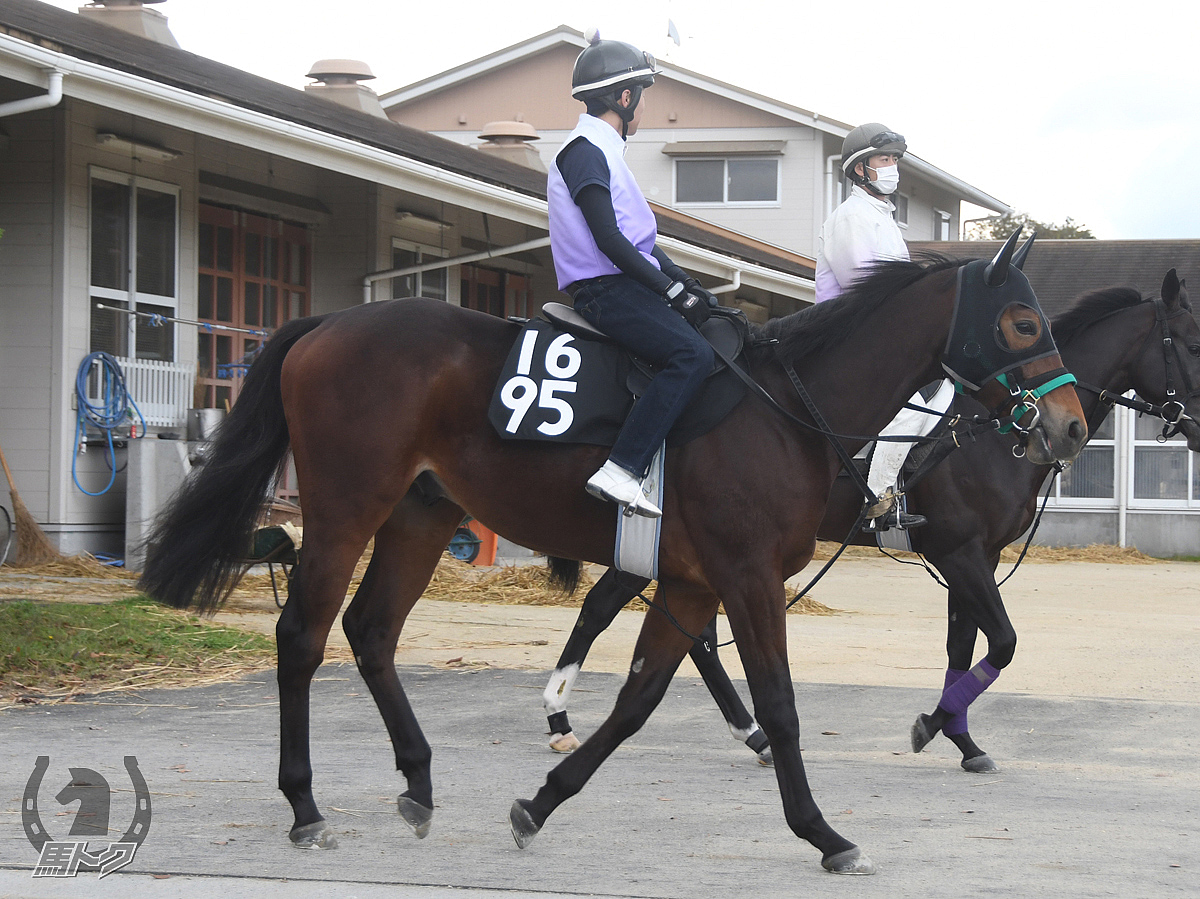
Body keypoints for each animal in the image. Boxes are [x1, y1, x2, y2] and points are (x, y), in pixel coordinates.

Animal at [138, 235, 1089, 873]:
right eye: (1021, 320)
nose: (1071, 425)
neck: (783, 409)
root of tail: (331, 320)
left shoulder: (695, 582)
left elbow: (637, 700)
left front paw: (540, 802)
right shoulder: (747, 577)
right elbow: (780, 706)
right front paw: (824, 831)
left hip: (416, 516)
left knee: (371, 630)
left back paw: (418, 780)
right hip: (344, 510)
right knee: (302, 634)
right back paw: (304, 804)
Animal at [544, 266, 1200, 772]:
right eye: (1193, 345)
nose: (1067, 431)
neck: (990, 430)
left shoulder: (974, 557)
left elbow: (963, 645)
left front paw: (961, 737)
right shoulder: (960, 553)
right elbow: (1004, 642)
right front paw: (934, 725)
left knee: (688, 634)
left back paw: (746, 732)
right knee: (611, 610)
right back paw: (563, 716)